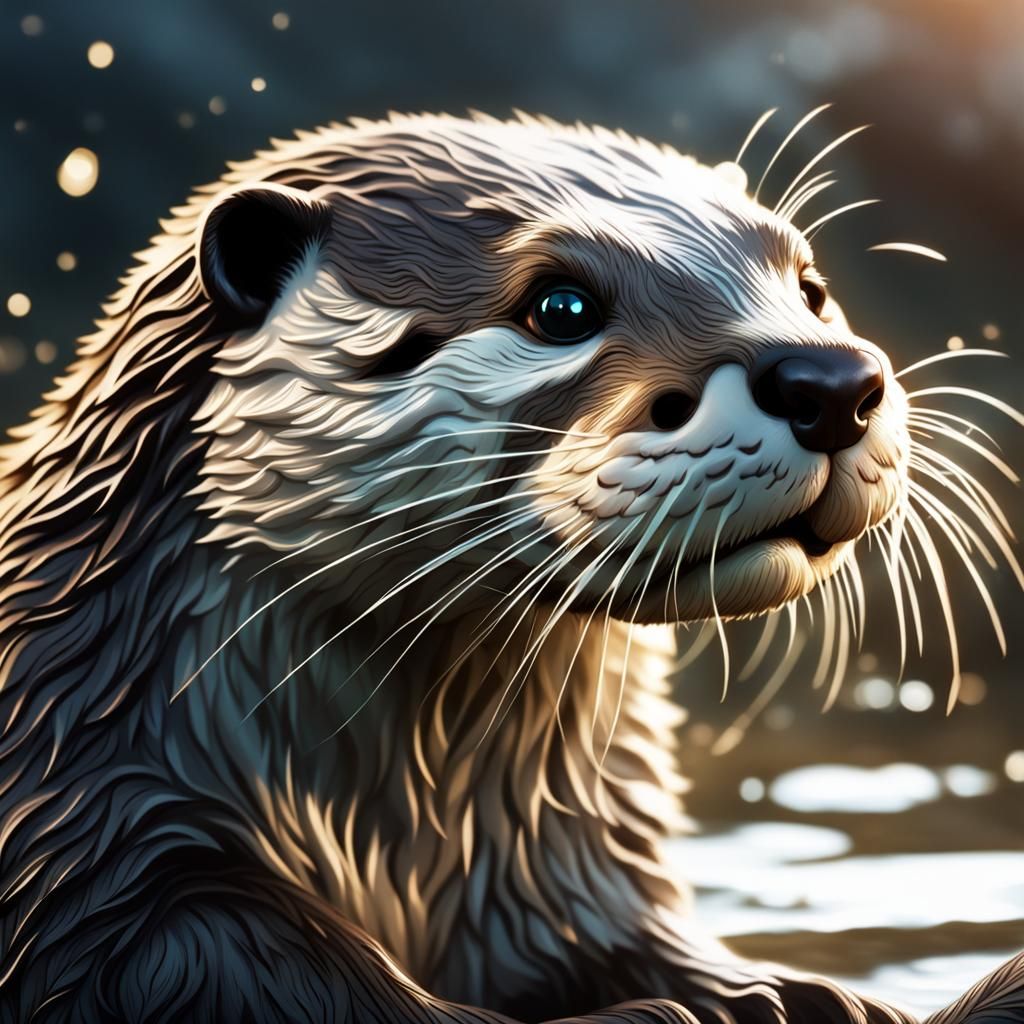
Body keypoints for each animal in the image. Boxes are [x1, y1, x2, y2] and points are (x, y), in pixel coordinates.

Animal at [0, 112, 1020, 1024]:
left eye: (809, 286)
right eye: (561, 307)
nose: (830, 382)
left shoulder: (559, 869)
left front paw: (781, 992)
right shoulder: (100, 845)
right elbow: (235, 958)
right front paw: (657, 1017)